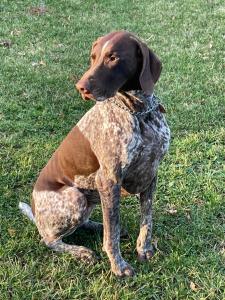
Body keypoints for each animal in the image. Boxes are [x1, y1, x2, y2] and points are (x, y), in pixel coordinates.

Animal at [19, 30, 171, 276]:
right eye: (93, 57)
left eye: (113, 58)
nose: (80, 87)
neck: (139, 113)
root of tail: (35, 214)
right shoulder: (109, 180)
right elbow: (112, 232)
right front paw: (118, 266)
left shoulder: (151, 173)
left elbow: (146, 219)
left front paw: (144, 248)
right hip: (75, 197)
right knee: (49, 240)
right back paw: (81, 251)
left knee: (85, 223)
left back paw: (96, 227)